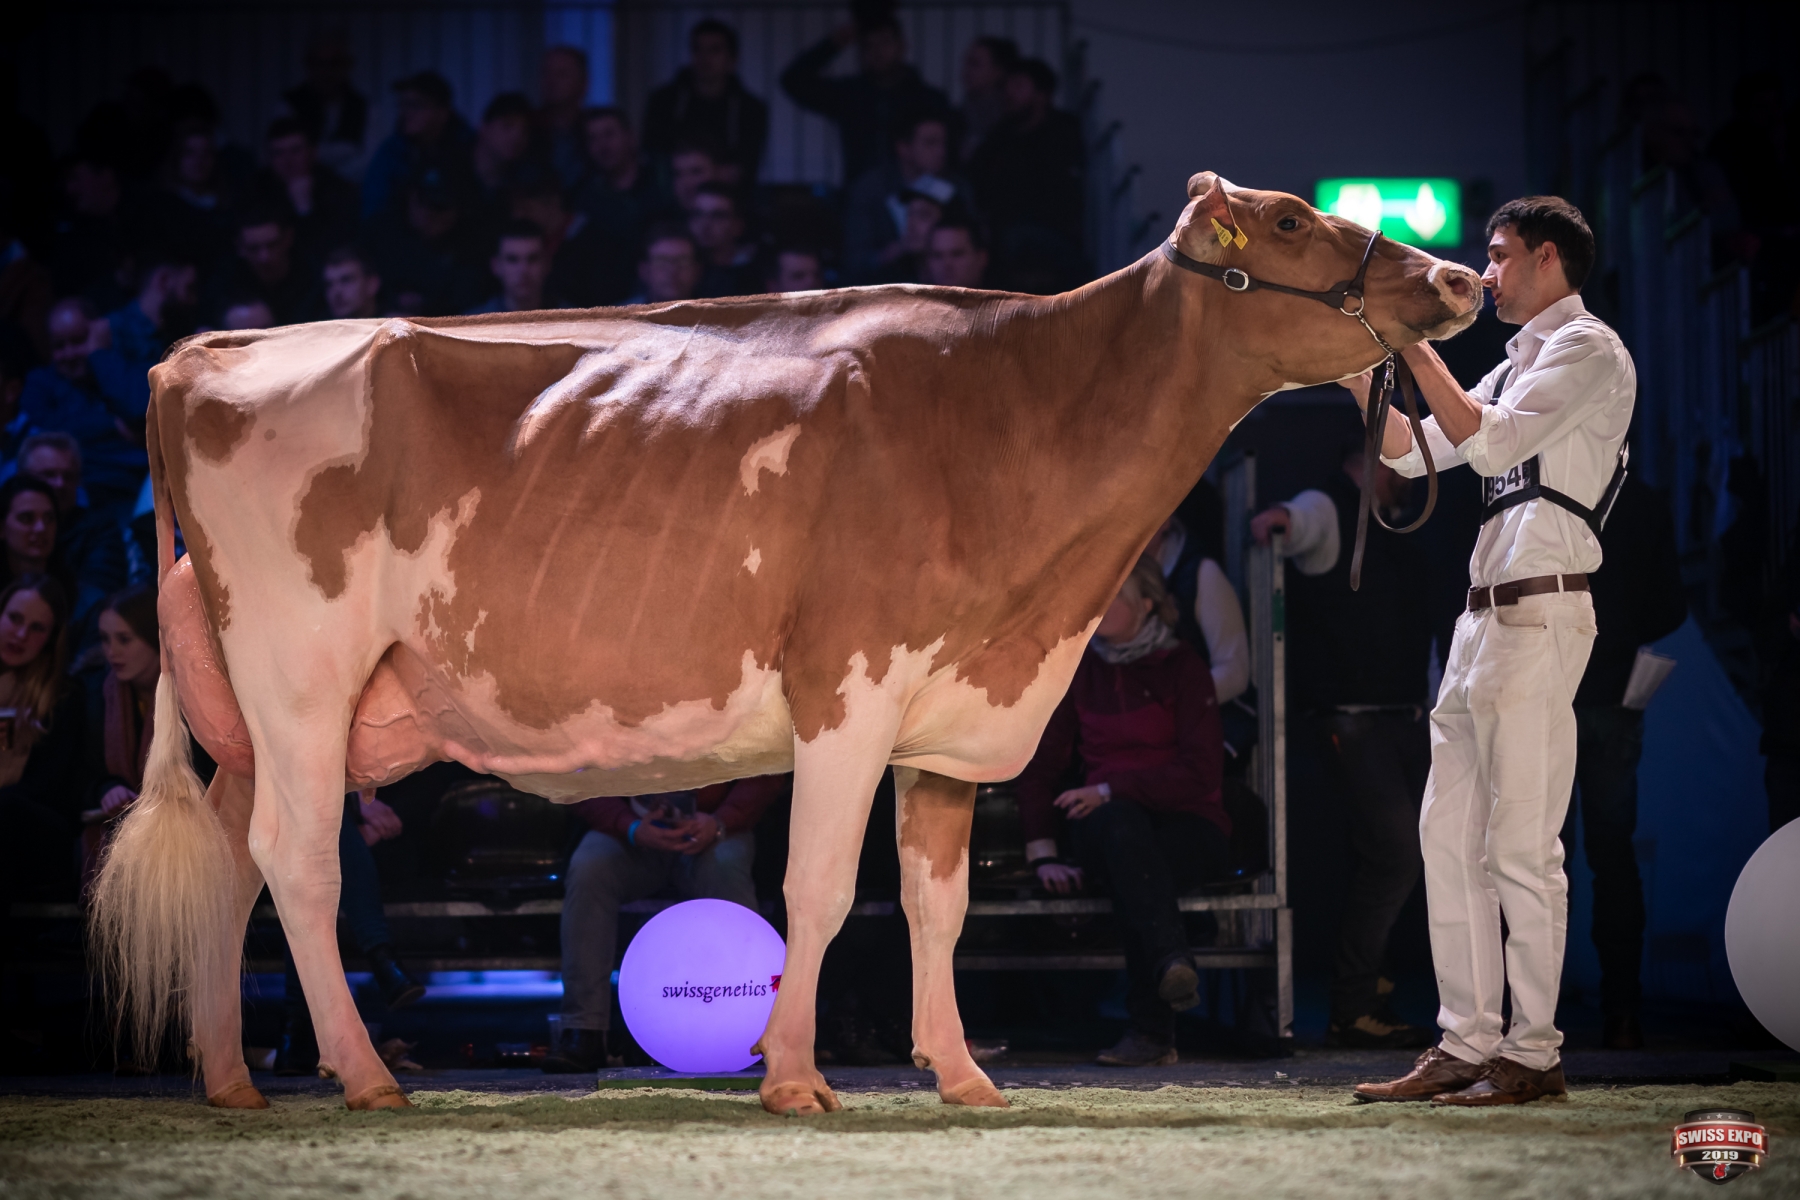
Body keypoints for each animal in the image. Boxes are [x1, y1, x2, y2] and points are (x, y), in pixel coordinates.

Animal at [91, 173, 1480, 1116]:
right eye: (1293, 222)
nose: (1461, 282)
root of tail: (203, 354)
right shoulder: (845, 690)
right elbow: (816, 890)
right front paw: (799, 1076)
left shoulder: (949, 720)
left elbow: (936, 902)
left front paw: (961, 1075)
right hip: (299, 677)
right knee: (296, 862)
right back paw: (364, 1073)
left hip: (256, 714)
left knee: (230, 859)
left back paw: (231, 1079)